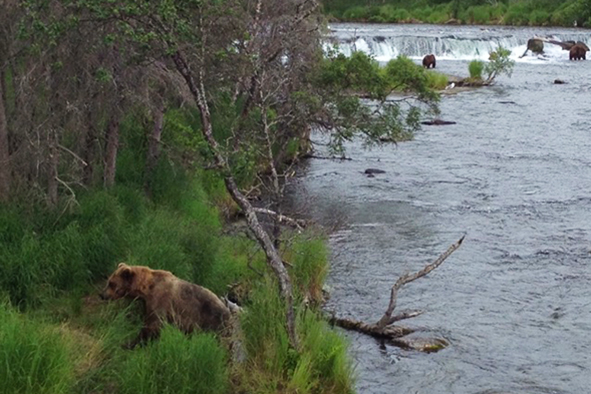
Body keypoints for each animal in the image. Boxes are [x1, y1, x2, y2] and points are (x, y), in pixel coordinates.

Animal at [100, 264, 232, 350]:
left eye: (111, 283)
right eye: (109, 281)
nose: (102, 295)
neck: (147, 289)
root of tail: (227, 309)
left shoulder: (161, 300)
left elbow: (153, 324)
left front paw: (130, 343)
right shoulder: (148, 302)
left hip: (213, 320)